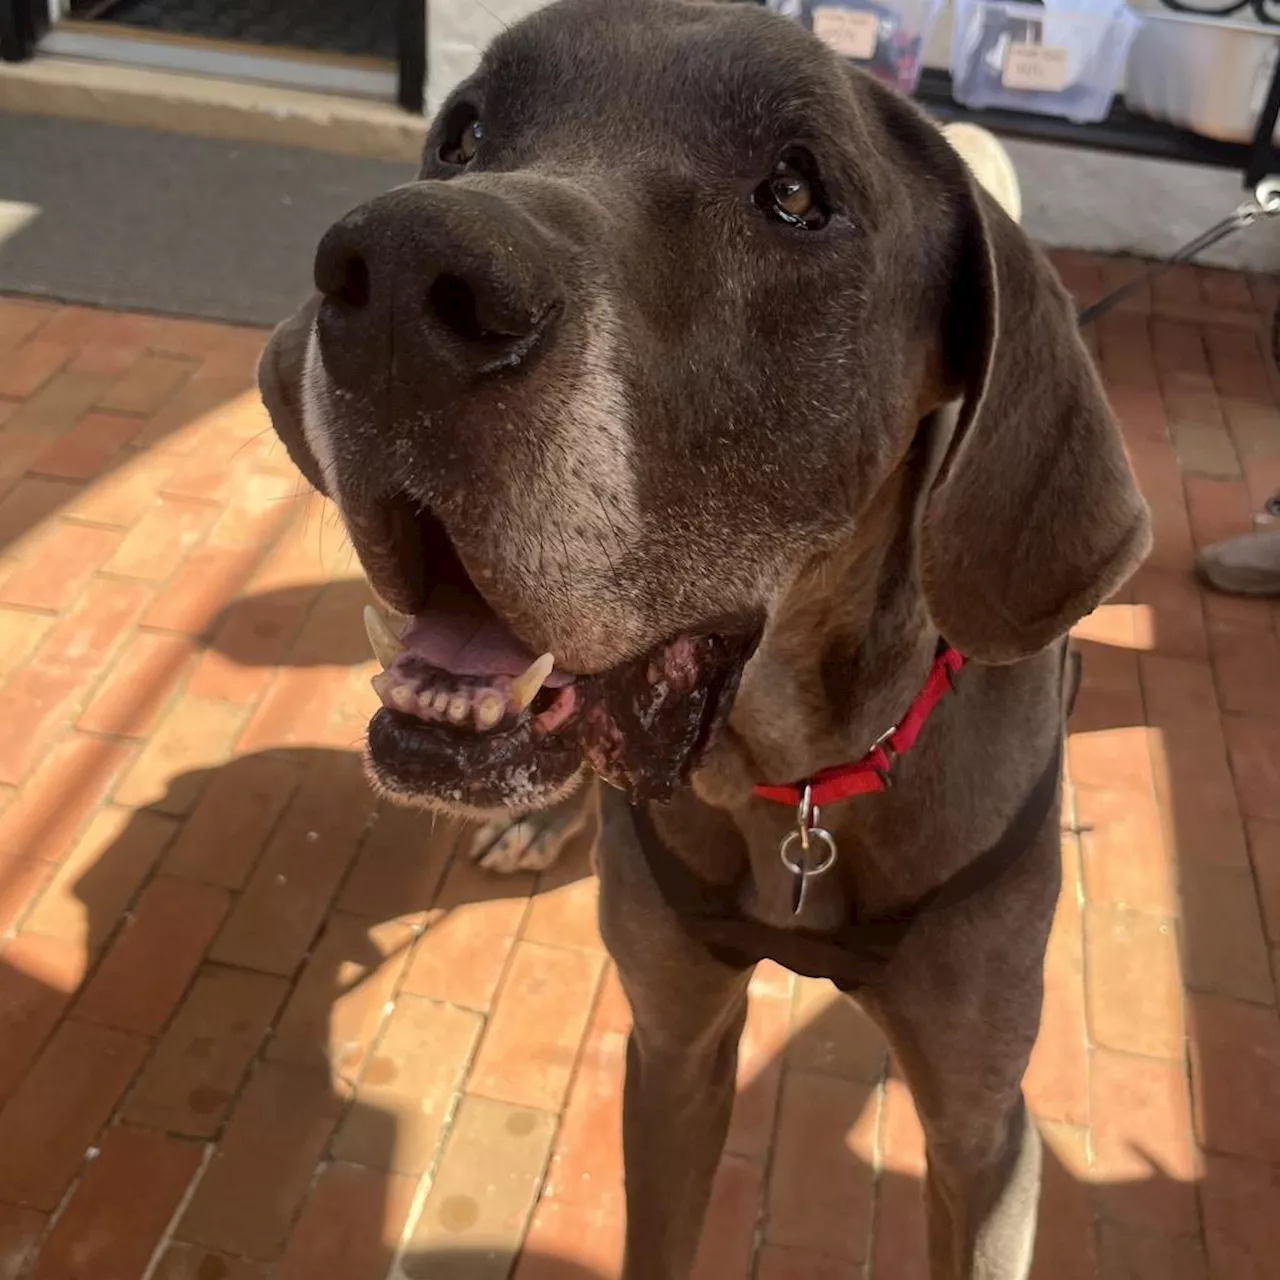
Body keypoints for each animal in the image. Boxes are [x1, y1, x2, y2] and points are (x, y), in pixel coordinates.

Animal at [257, 5, 1152, 1274]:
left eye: (794, 192)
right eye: (459, 133)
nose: (393, 273)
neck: (794, 777)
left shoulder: (984, 1135)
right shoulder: (672, 1050)